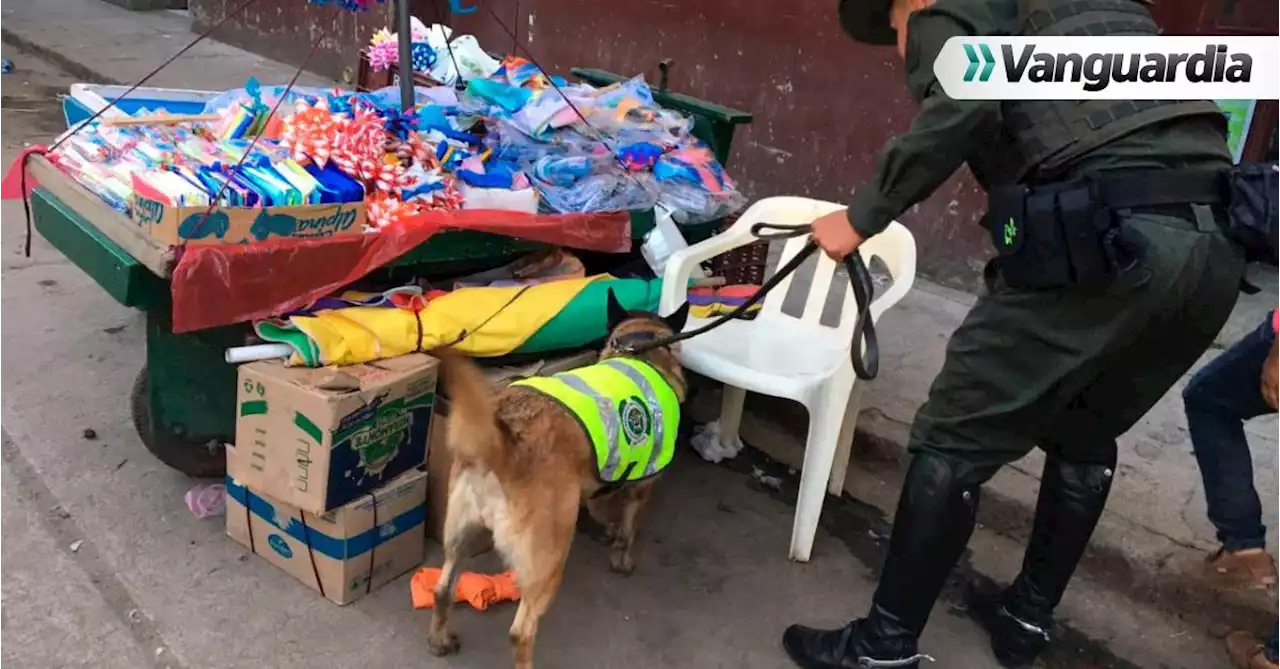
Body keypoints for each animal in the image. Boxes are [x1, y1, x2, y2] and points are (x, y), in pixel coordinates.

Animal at [427, 291, 691, 669]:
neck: (642, 349)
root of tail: (504, 442)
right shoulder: (641, 487)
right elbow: (628, 529)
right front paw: (621, 557)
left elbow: (599, 509)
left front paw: (603, 531)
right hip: (547, 562)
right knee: (521, 631)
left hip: (460, 534)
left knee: (442, 589)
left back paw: (438, 639)